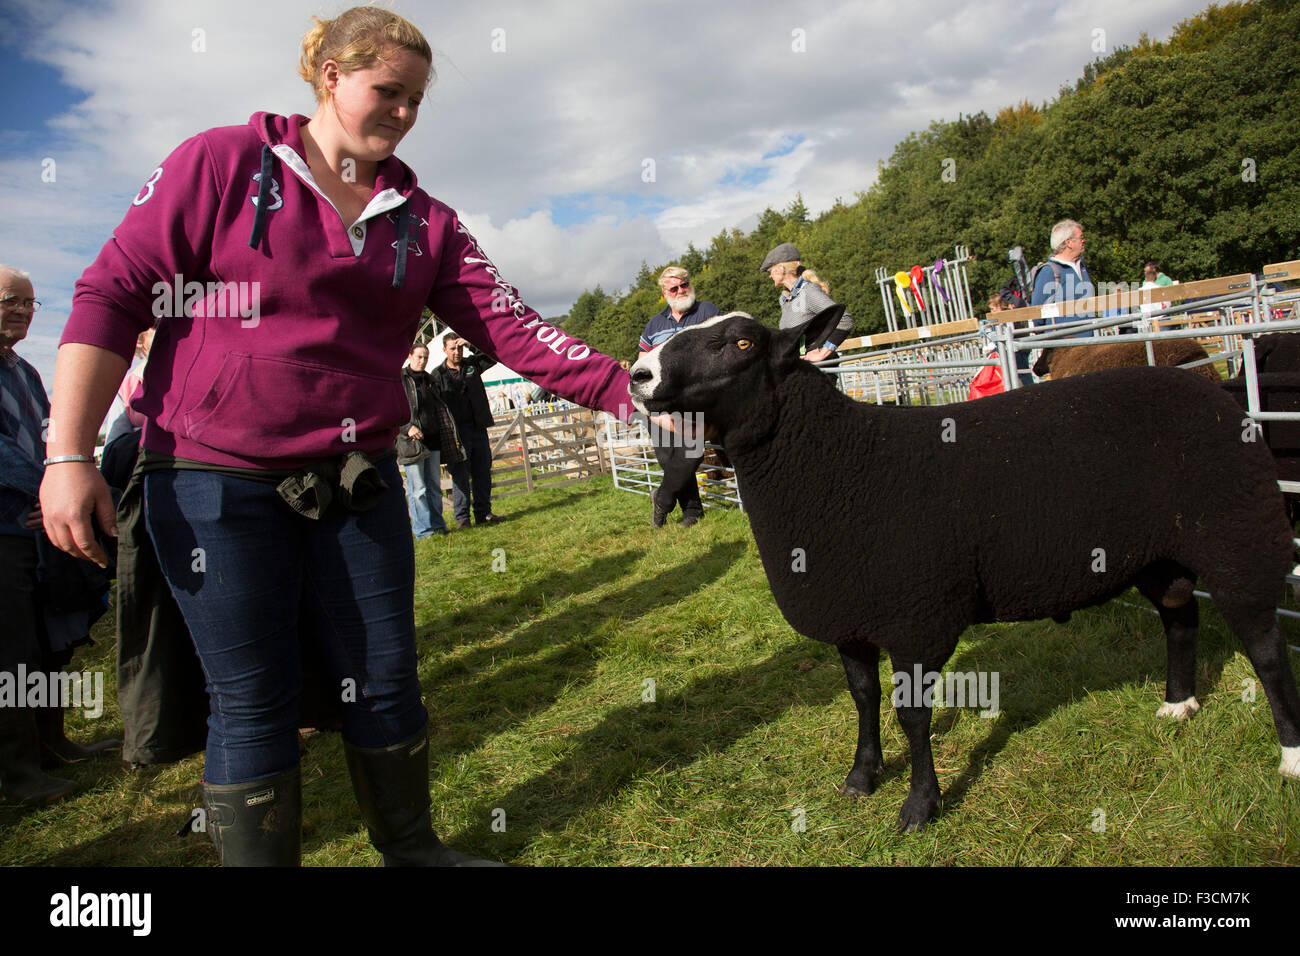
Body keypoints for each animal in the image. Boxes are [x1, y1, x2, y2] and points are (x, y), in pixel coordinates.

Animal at [629, 306, 1300, 832]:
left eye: (741, 343)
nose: (639, 375)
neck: (841, 461)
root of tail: (1219, 390)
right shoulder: (849, 614)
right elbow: (863, 697)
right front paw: (860, 778)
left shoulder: (915, 616)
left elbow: (912, 715)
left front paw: (919, 807)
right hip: (1161, 552)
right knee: (1179, 615)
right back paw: (1178, 706)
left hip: (1240, 538)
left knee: (1266, 650)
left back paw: (1290, 757)